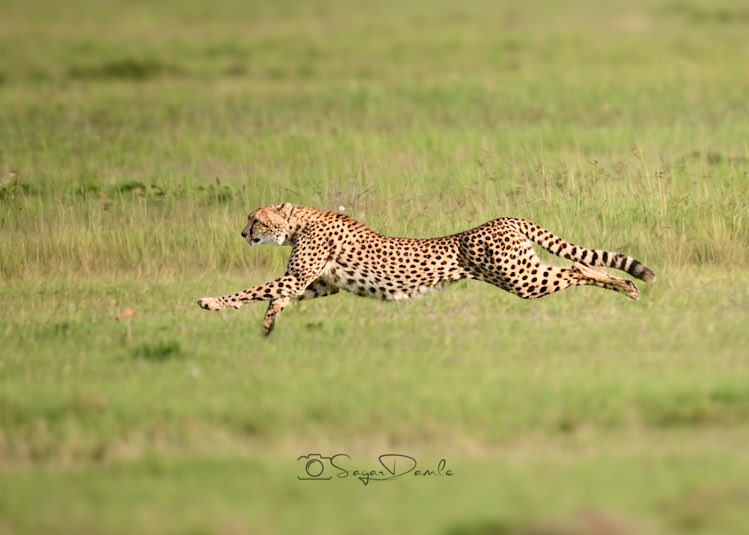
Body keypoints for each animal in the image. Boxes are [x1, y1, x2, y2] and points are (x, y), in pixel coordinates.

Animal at [197, 203, 655, 336]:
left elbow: (254, 288)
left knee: (577, 268)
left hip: (520, 279)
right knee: (578, 264)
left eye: (256, 219)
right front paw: (268, 324)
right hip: (524, 270)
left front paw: (211, 301)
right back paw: (629, 288)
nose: (243, 232)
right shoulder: (322, 285)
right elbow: (278, 295)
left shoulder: (300, 275)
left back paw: (627, 286)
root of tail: (504, 218)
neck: (301, 222)